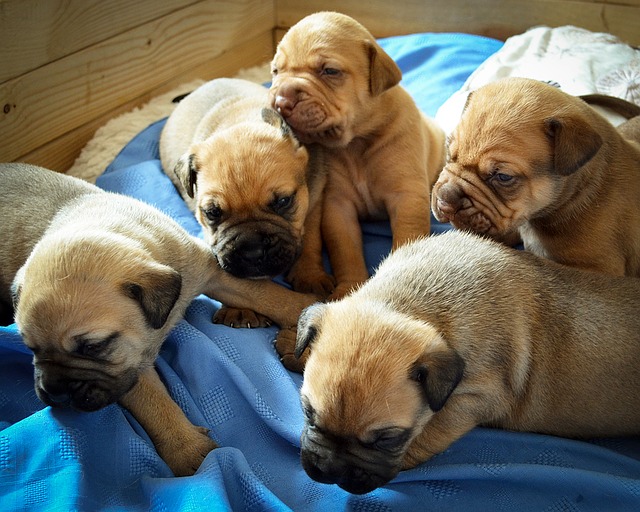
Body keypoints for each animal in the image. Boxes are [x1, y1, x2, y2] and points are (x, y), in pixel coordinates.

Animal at [0, 163, 318, 476]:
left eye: (93, 347)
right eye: (30, 348)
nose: (55, 392)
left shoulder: (210, 272)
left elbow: (266, 294)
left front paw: (308, 307)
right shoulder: (131, 364)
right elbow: (154, 404)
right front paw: (186, 448)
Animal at [160, 78, 332, 326]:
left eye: (283, 201)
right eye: (212, 213)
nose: (252, 251)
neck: (240, 120)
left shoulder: (315, 198)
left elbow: (310, 237)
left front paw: (310, 275)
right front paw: (238, 310)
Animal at [268, 11, 444, 300]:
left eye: (329, 71)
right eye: (275, 71)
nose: (281, 102)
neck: (356, 143)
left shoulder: (407, 197)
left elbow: (407, 237)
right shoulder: (337, 207)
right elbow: (346, 252)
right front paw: (348, 289)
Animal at [292, 230, 640, 494]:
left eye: (387, 439)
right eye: (307, 413)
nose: (329, 470)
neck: (404, 303)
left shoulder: (477, 397)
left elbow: (432, 430)